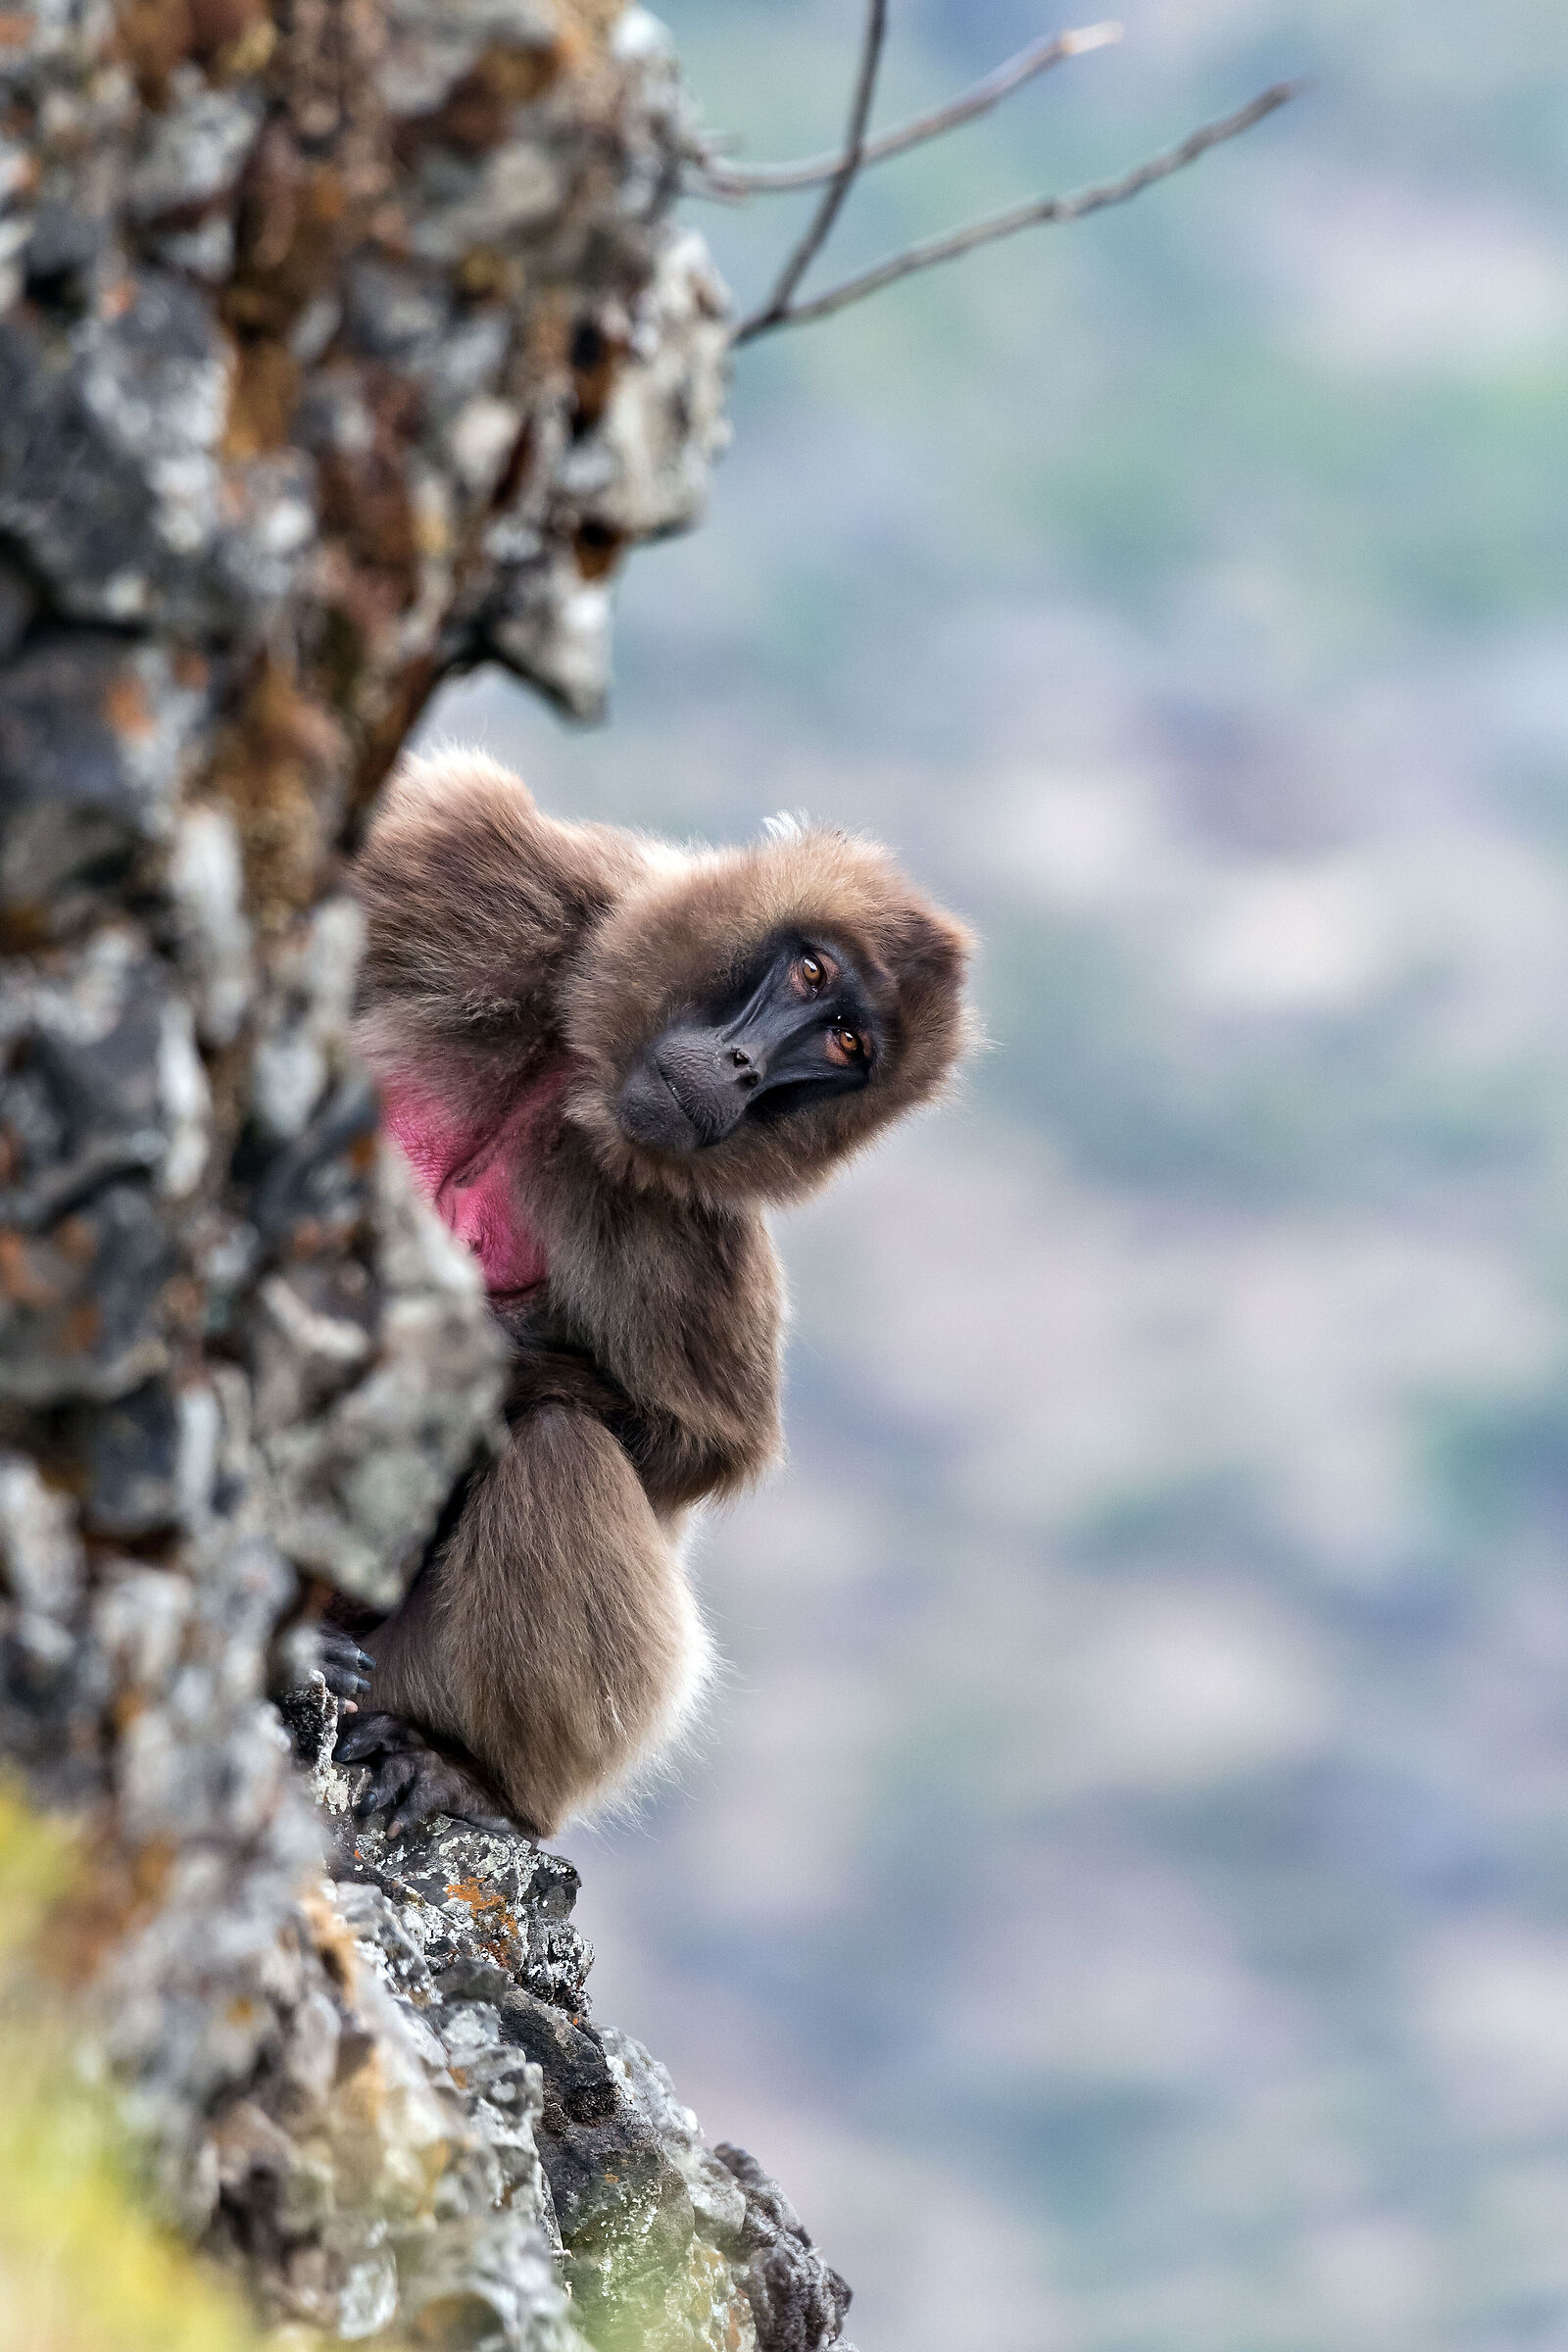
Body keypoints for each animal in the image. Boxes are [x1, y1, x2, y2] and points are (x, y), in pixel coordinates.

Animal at [321, 751, 972, 1841]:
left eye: (844, 1047)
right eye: (812, 974)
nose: (745, 1069)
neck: (572, 1075)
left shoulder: (686, 1236)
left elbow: (698, 1446)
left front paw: (477, 1372)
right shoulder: (471, 876)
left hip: (402, 1685)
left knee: (556, 1446)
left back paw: (471, 1773)